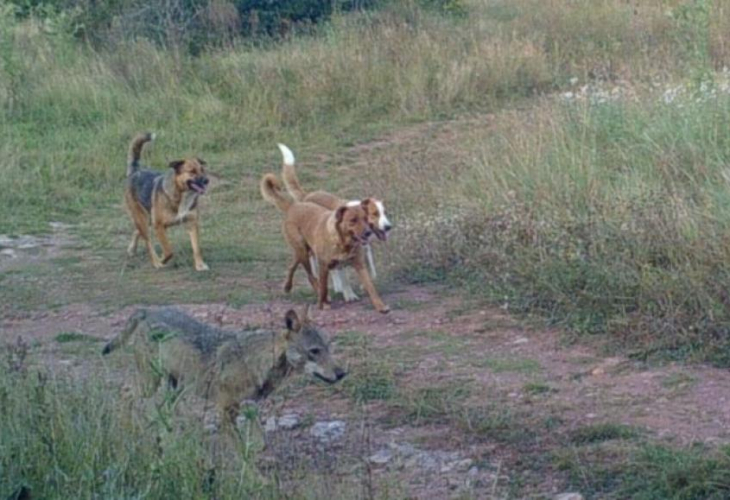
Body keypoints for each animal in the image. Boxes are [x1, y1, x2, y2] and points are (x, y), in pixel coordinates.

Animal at [123, 133, 209, 272]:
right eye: (192, 171)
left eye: (202, 170)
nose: (207, 180)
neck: (181, 195)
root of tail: (136, 171)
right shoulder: (159, 226)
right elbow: (169, 250)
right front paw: (162, 258)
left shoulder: (192, 223)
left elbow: (196, 248)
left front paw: (200, 265)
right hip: (143, 219)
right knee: (148, 243)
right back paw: (156, 262)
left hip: (147, 219)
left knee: (137, 231)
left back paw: (132, 249)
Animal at [258, 174, 390, 310]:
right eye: (374, 214)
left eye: (384, 213)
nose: (388, 227)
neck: (344, 241)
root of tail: (293, 206)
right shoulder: (326, 264)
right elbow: (329, 284)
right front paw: (342, 296)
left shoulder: (360, 259)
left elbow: (370, 282)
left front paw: (379, 305)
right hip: (304, 252)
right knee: (312, 275)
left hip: (301, 251)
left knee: (293, 265)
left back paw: (288, 286)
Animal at [278, 143, 392, 302]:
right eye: (375, 214)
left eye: (385, 212)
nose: (388, 227)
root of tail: (306, 196)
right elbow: (343, 274)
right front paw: (348, 293)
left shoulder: (364, 248)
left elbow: (370, 269)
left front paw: (365, 285)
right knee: (316, 264)